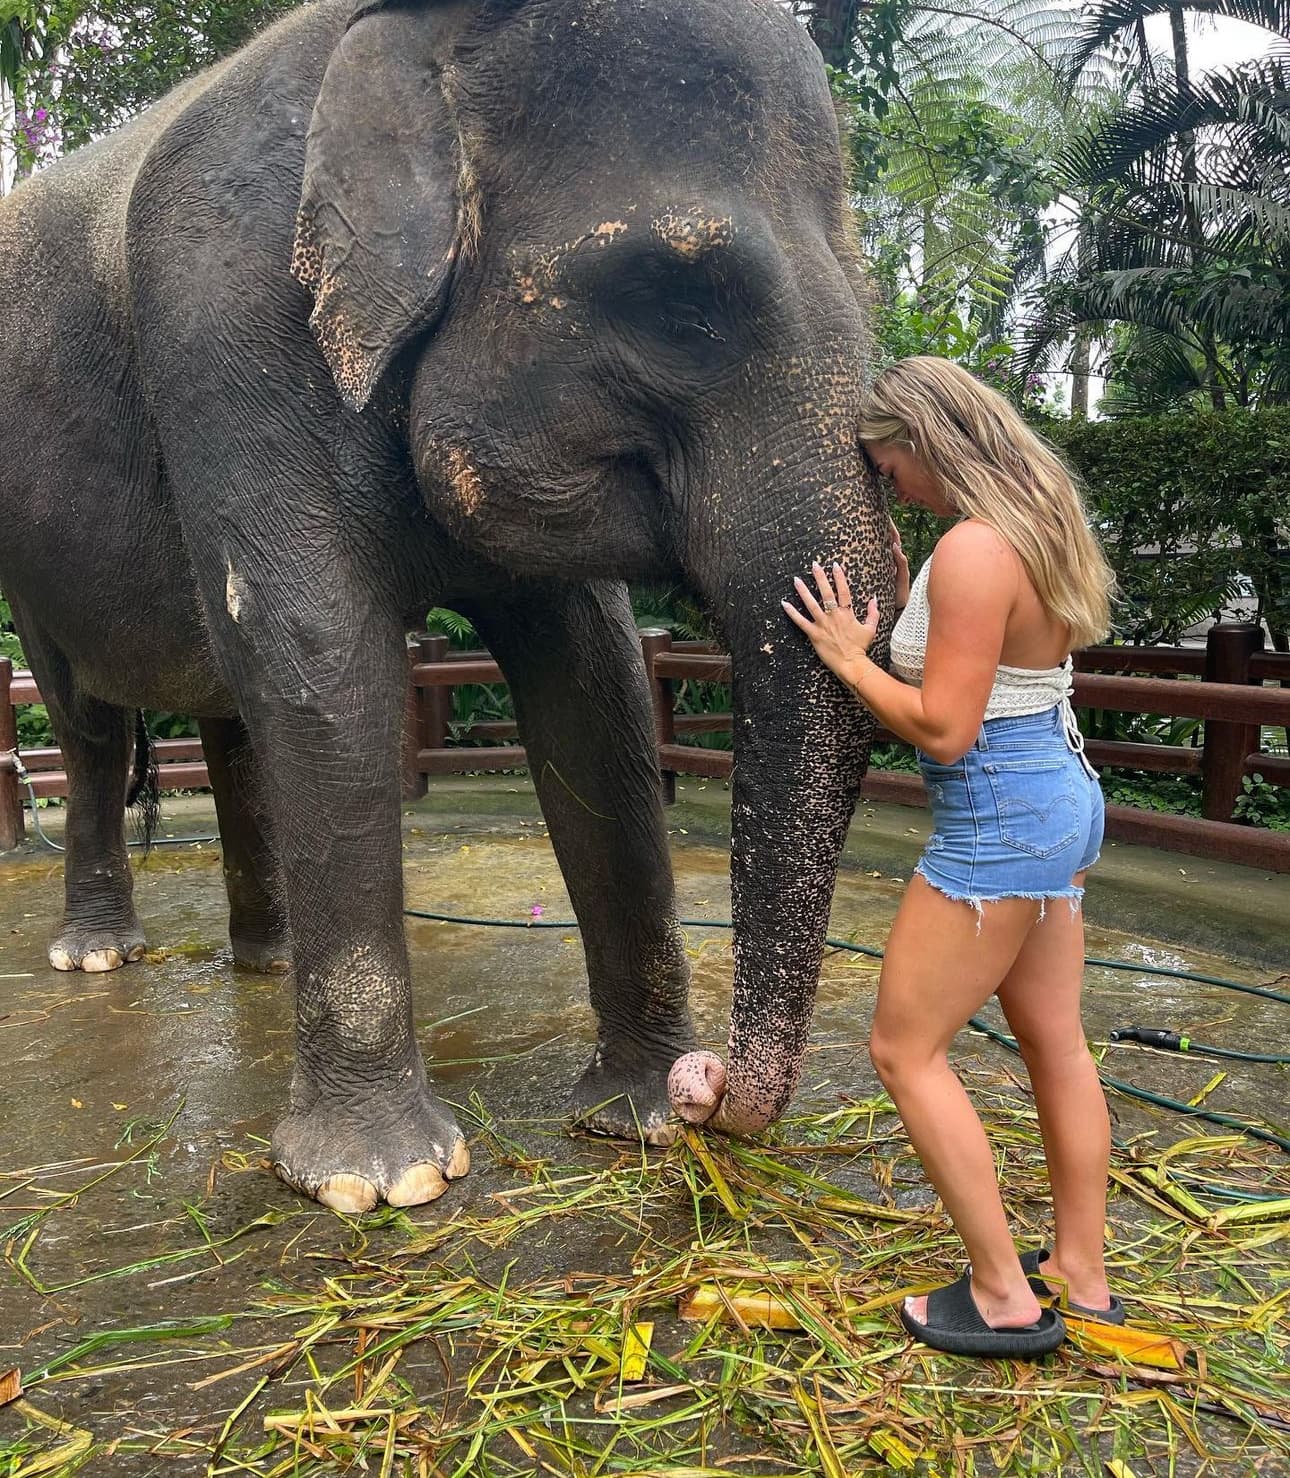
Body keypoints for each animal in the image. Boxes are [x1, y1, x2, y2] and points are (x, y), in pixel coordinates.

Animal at [0, 0, 890, 1211]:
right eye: (678, 302)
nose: (716, 1089)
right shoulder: (223, 325)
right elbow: (319, 657)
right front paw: (382, 1182)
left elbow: (596, 684)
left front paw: (644, 1117)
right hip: (27, 553)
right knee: (91, 721)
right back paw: (99, 955)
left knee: (231, 716)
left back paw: (266, 959)